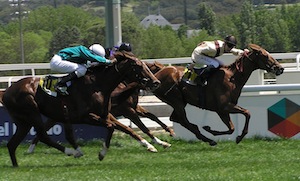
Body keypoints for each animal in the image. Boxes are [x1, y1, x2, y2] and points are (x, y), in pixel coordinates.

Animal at [0, 51, 159, 167]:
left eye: (146, 65)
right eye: (138, 66)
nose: (156, 82)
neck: (98, 85)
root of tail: (7, 91)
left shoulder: (105, 114)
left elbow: (121, 128)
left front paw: (150, 145)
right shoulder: (85, 116)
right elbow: (112, 126)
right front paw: (102, 153)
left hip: (24, 121)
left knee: (12, 144)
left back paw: (16, 166)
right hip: (32, 112)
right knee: (43, 135)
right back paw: (72, 152)